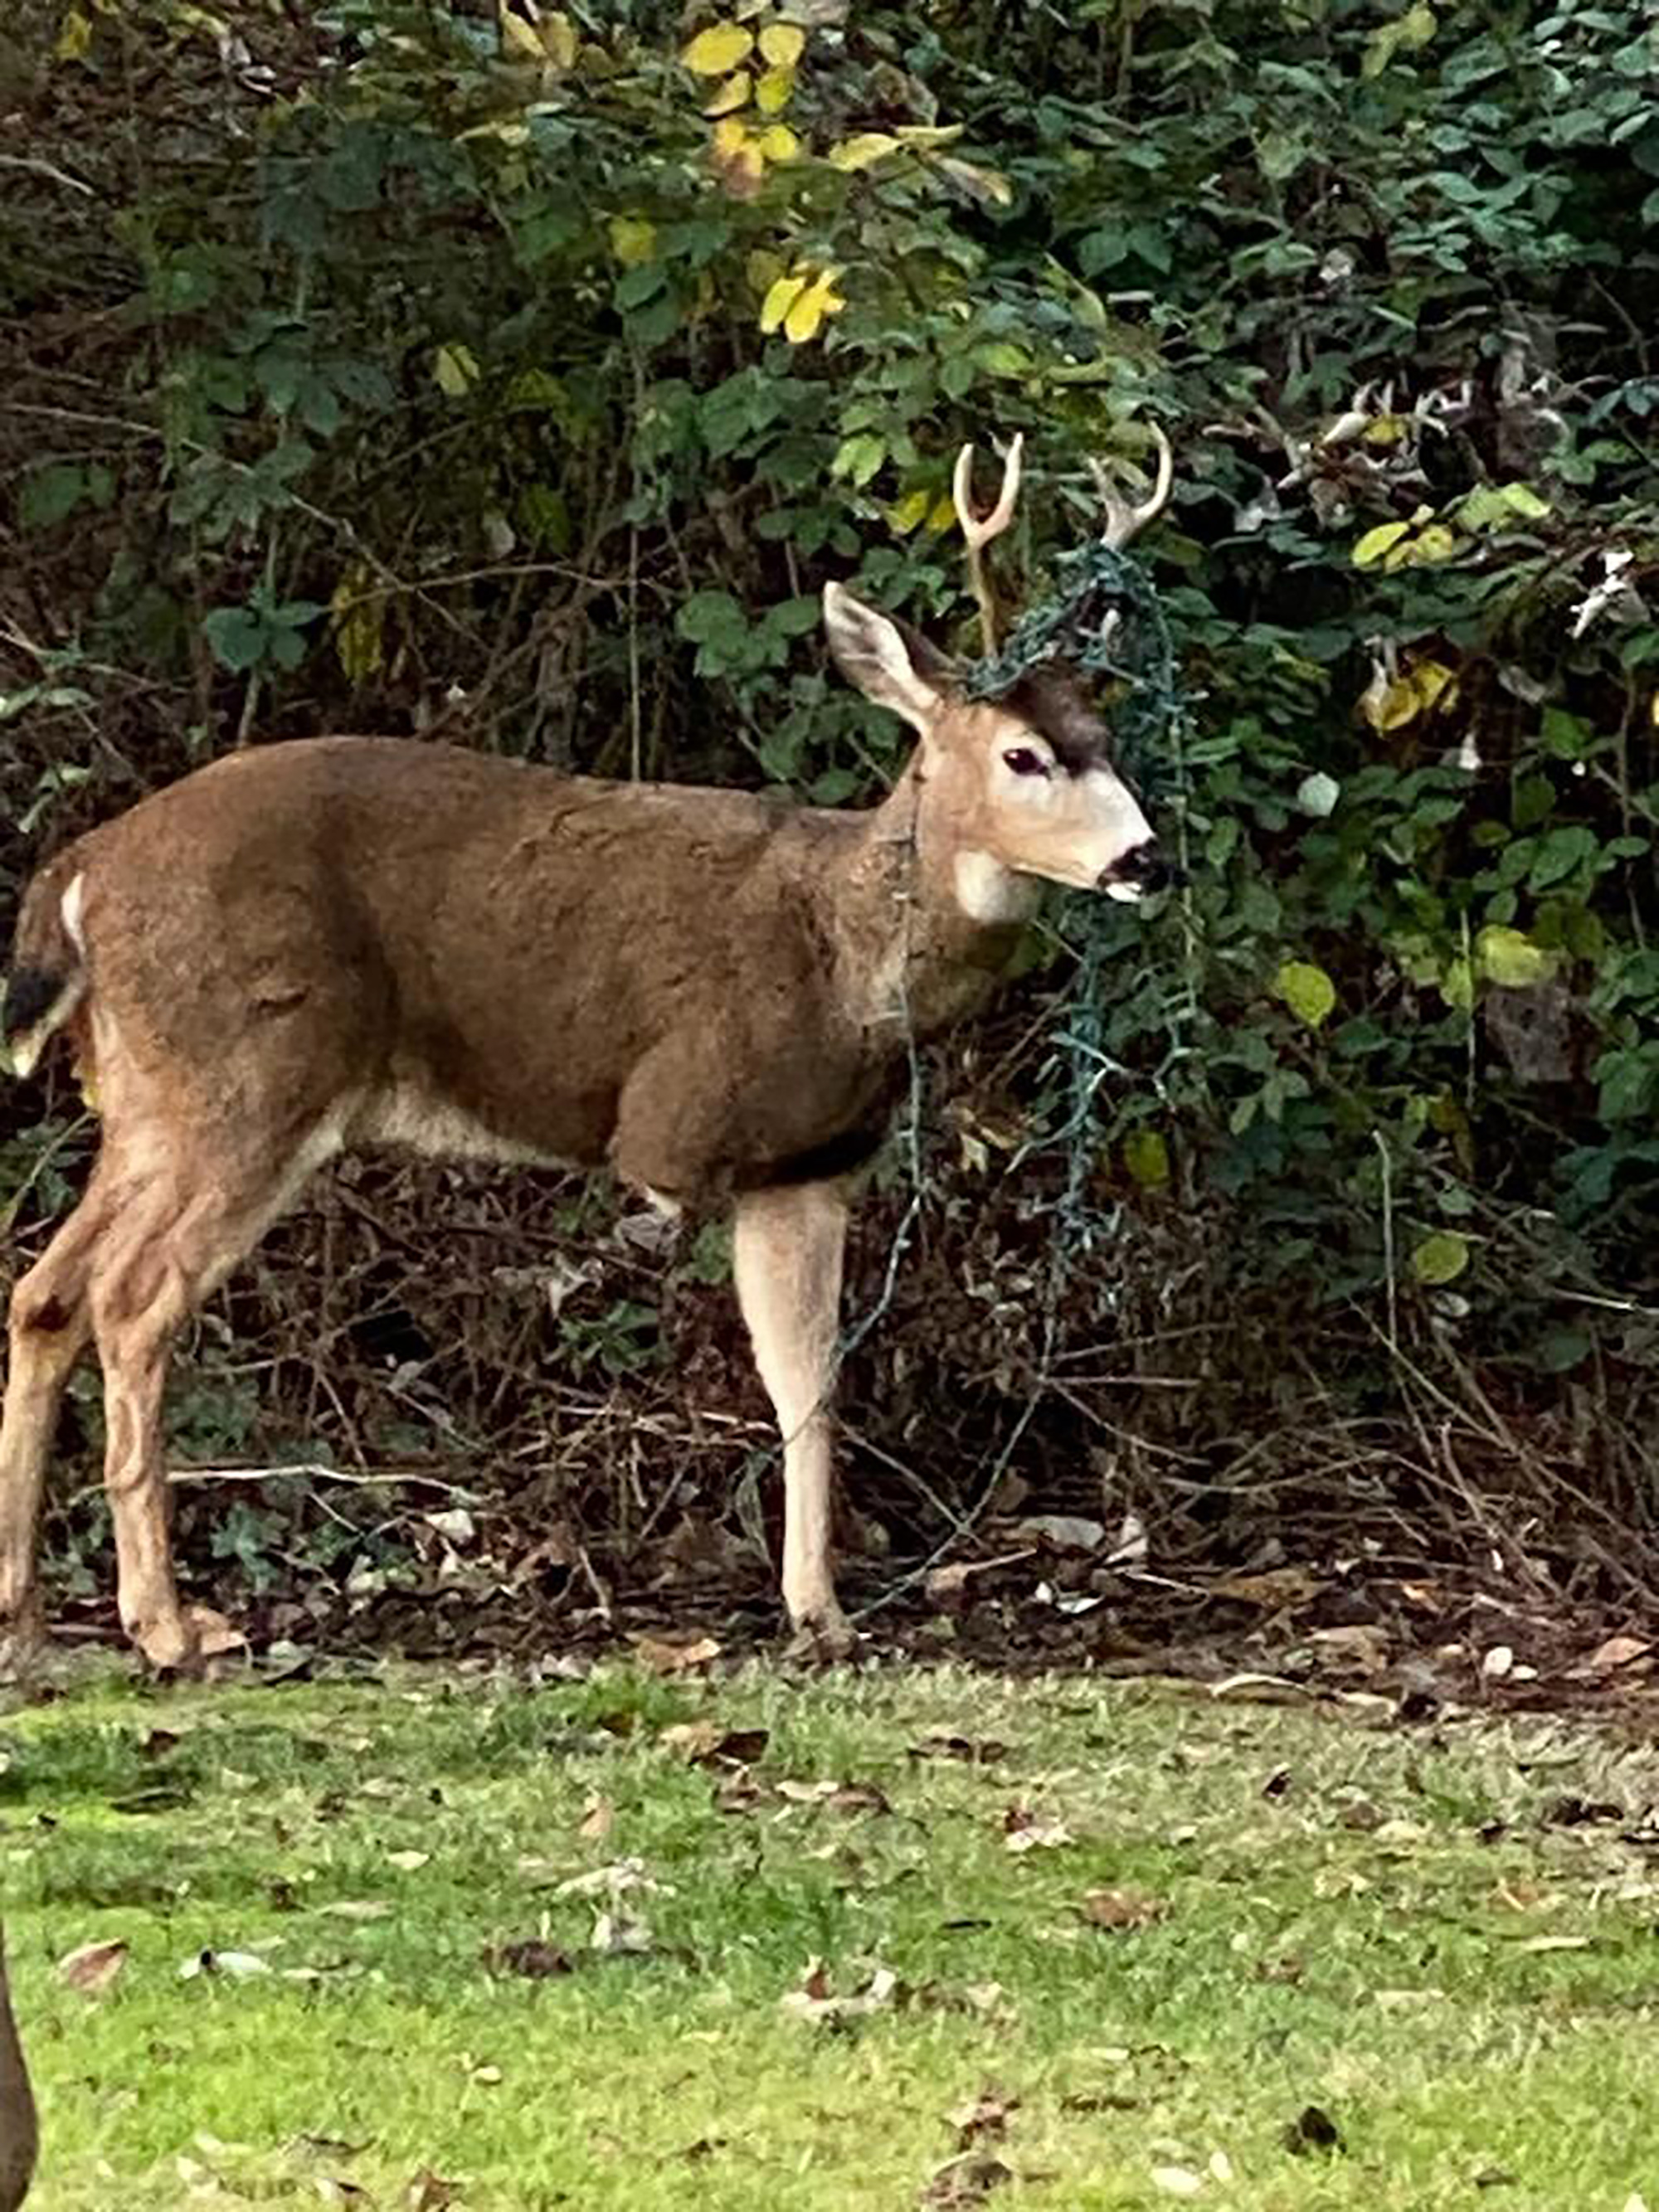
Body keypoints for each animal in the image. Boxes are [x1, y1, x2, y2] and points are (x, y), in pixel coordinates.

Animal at [0, 427, 1173, 1671]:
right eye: (1023, 756)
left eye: (1106, 740)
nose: (1148, 859)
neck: (848, 955)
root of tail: (82, 872)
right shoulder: (684, 1132)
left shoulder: (805, 1168)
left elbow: (806, 1384)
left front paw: (821, 1612)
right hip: (248, 1077)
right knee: (132, 1300)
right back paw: (166, 1625)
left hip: (143, 1098)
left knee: (46, 1291)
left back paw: (25, 1614)